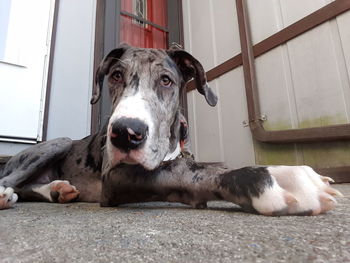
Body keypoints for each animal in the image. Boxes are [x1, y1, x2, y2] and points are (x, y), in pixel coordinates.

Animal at [0, 43, 342, 217]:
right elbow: (187, 174)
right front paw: (278, 179)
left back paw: (57, 189)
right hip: (57, 142)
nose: (126, 133)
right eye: (115, 75)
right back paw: (9, 195)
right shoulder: (115, 177)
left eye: (166, 80)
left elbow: (194, 167)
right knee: (9, 180)